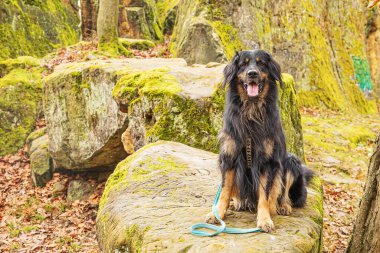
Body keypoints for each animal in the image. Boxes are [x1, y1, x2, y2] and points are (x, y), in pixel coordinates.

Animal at [206, 50, 314, 233]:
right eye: (243, 64)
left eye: (261, 63)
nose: (252, 74)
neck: (251, 111)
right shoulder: (229, 156)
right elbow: (225, 190)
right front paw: (218, 214)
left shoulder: (267, 162)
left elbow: (265, 194)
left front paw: (264, 219)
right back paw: (237, 202)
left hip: (291, 160)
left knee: (285, 194)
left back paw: (283, 206)